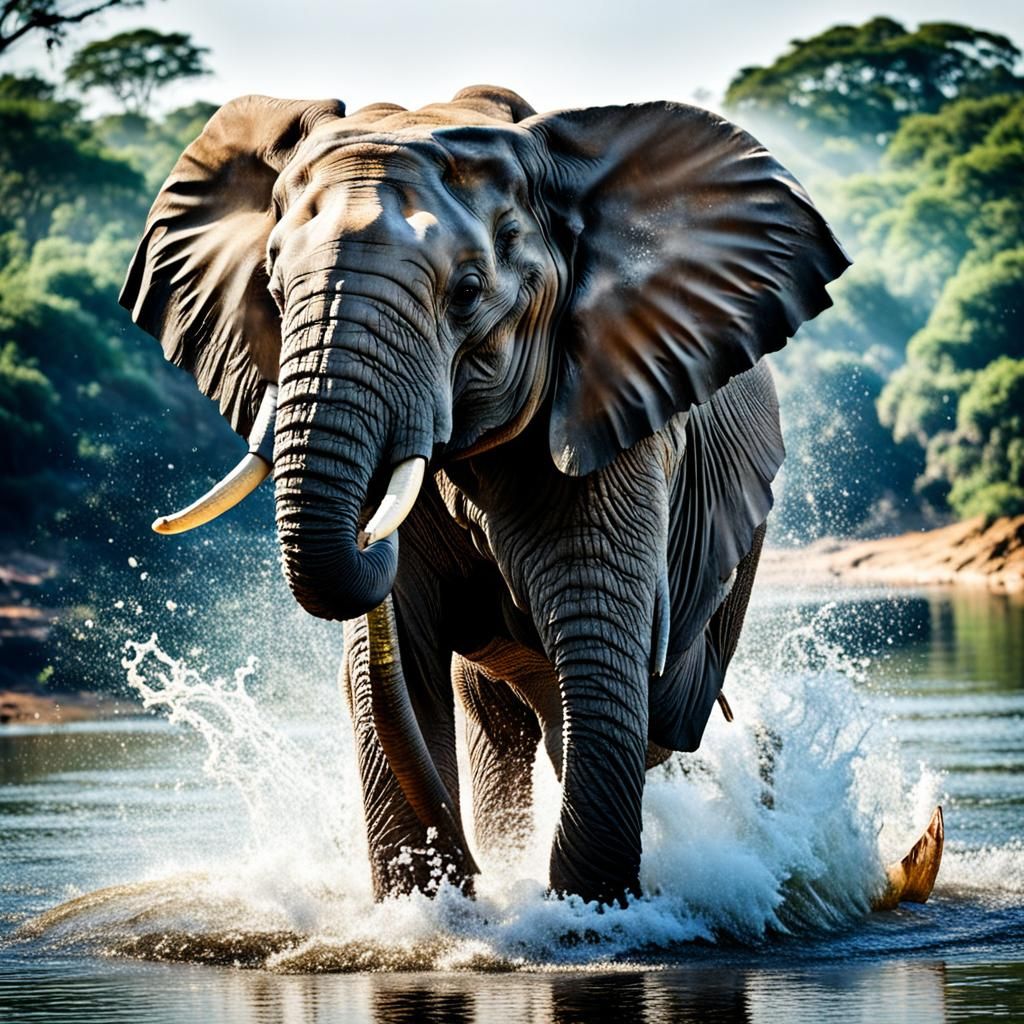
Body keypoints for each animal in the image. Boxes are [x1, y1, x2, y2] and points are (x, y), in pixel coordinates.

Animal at [120, 84, 926, 907]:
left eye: (470, 291)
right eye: (275, 292)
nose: (372, 531)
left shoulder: (614, 426)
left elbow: (601, 664)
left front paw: (587, 915)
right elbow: (398, 667)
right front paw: (434, 909)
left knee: (661, 711)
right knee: (508, 714)